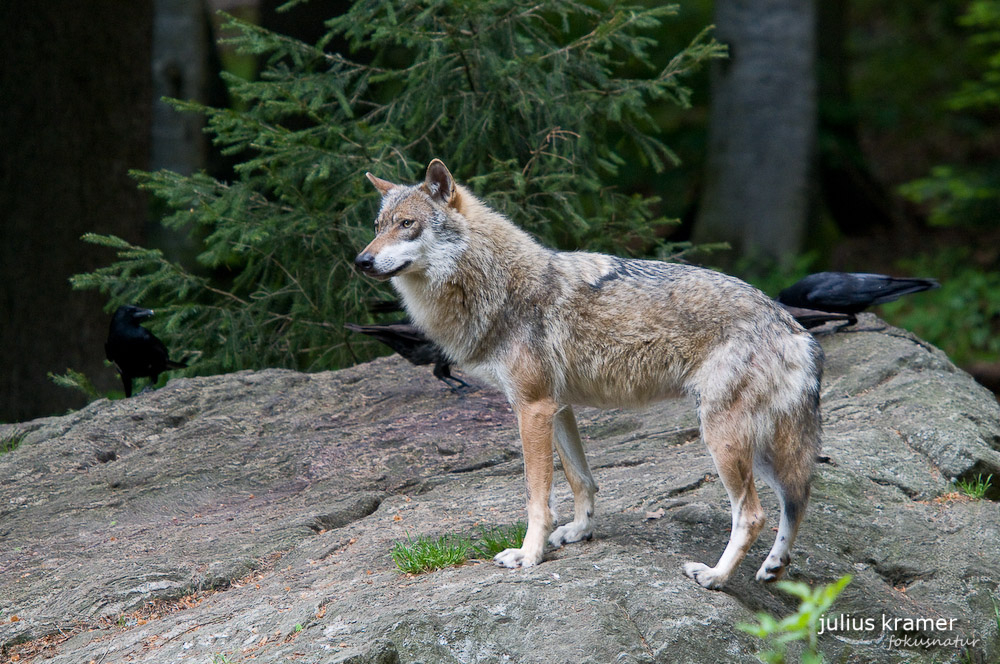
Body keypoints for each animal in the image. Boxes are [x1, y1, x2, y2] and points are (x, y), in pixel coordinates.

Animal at [356, 161, 824, 592]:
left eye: (406, 224)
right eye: (378, 227)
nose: (361, 260)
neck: (496, 284)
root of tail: (791, 325)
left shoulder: (532, 409)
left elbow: (537, 498)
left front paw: (529, 555)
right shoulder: (557, 407)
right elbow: (582, 481)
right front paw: (581, 532)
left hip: (722, 437)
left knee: (753, 514)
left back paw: (714, 576)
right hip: (761, 447)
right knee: (798, 497)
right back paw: (773, 568)